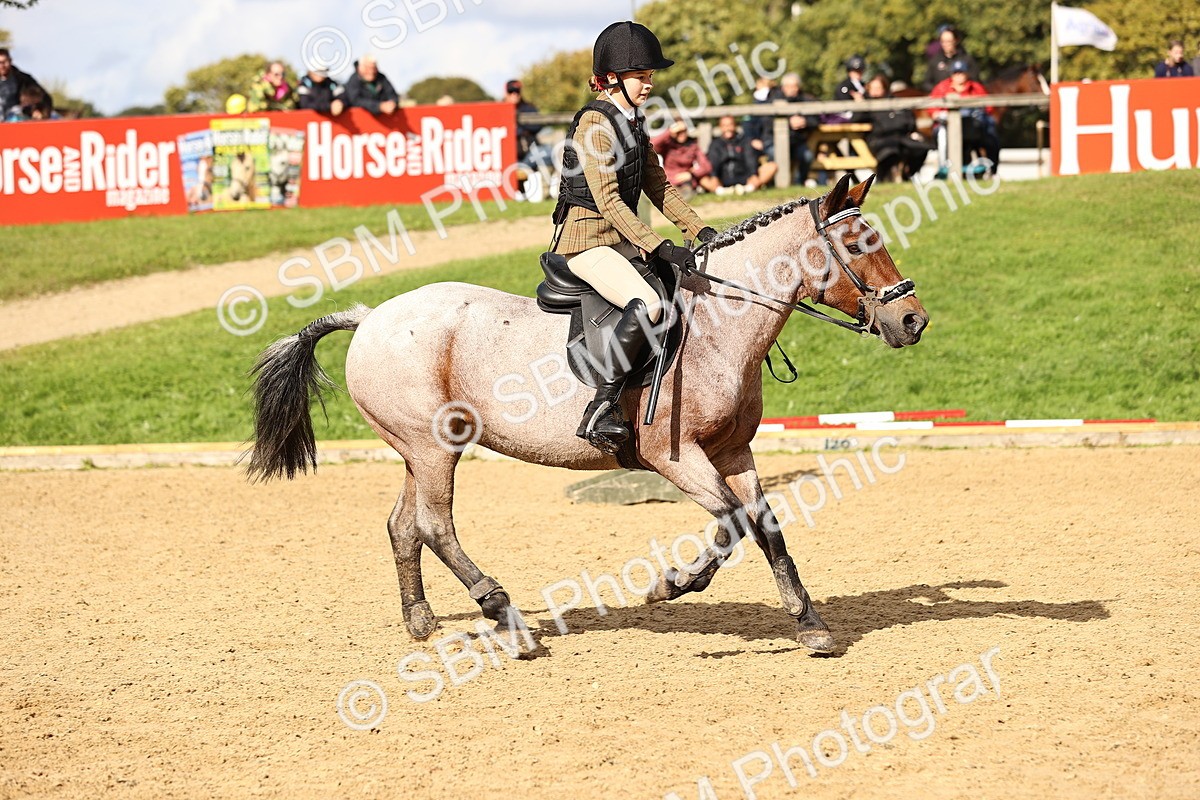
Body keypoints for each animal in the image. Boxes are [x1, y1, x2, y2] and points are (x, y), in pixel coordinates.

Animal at [245, 173, 928, 656]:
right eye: (856, 244)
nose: (912, 320)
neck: (719, 323)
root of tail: (370, 317)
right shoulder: (675, 458)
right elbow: (734, 523)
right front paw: (672, 585)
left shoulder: (735, 453)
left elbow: (766, 527)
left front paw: (809, 623)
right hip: (434, 448)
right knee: (435, 526)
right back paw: (507, 618)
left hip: (420, 450)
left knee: (402, 526)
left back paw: (421, 620)